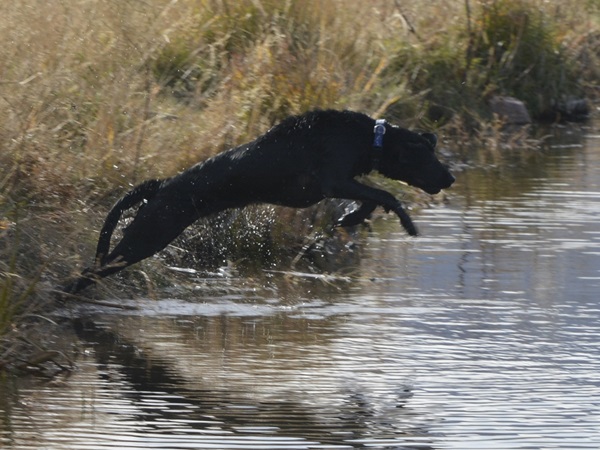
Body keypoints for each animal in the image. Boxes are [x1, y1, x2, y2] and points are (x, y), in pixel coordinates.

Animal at [62, 110, 454, 296]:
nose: (450, 178)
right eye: (428, 158)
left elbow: (371, 198)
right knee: (88, 272)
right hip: (148, 236)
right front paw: (406, 221)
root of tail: (161, 185)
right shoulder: (333, 180)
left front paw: (350, 219)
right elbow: (385, 193)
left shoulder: (340, 184)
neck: (369, 137)